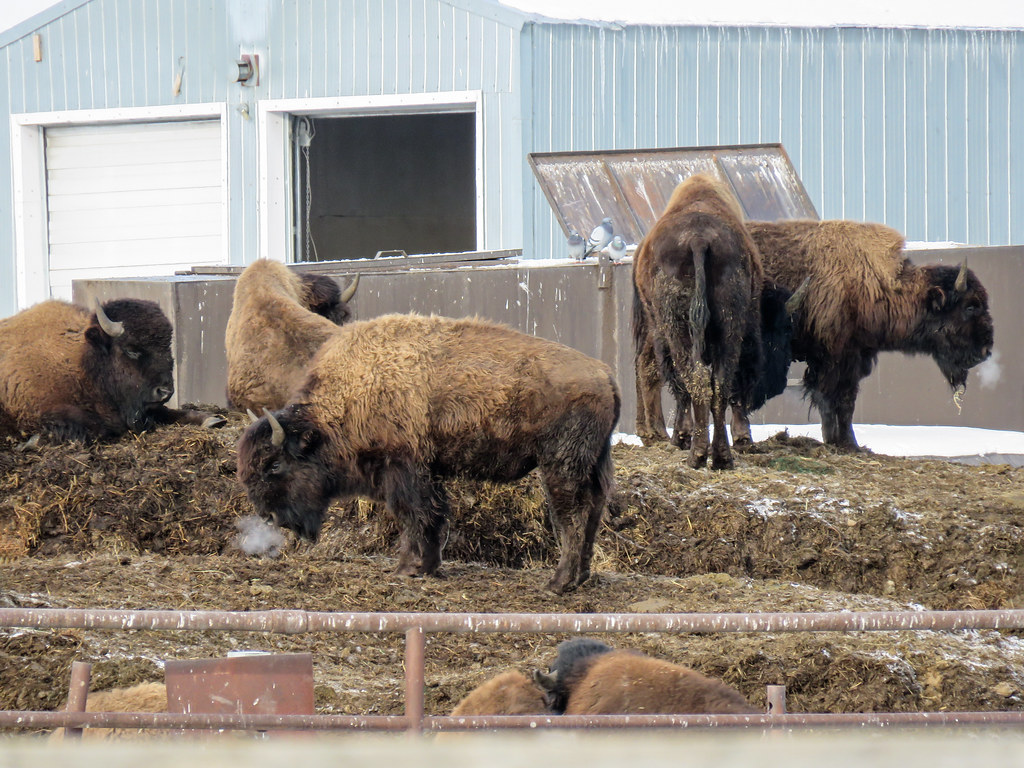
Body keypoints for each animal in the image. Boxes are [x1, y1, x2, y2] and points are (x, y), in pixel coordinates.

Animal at [0, 299, 222, 442]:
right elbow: (99, 427)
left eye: (167, 346)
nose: (165, 391)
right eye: (131, 349)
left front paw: (211, 419)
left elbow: (170, 412)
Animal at [237, 312, 620, 594]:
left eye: (275, 464)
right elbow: (432, 515)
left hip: (561, 465)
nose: (270, 516)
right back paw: (581, 577)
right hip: (595, 463)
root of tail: (605, 375)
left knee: (571, 515)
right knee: (594, 510)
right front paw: (429, 567)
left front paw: (407, 568)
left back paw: (558, 583)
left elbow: (414, 515)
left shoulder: (403, 467)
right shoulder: (427, 470)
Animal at [632, 173, 764, 469]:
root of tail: (698, 239)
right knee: (720, 384)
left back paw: (692, 452)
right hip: (730, 324)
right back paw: (721, 457)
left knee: (687, 377)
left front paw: (679, 438)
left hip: (675, 329)